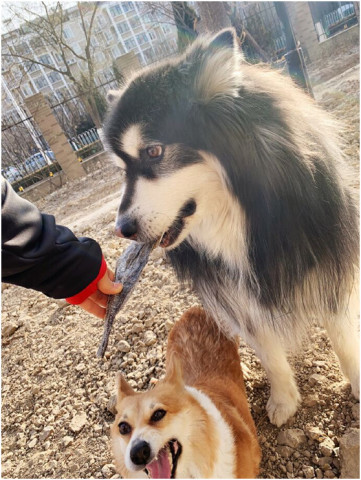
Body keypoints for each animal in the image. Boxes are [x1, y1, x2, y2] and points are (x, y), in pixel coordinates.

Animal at [102, 30, 358, 426]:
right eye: (121, 169)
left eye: (154, 152)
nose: (122, 229)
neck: (240, 213)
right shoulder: (232, 285)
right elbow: (265, 346)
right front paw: (284, 398)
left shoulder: (325, 257)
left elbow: (342, 334)